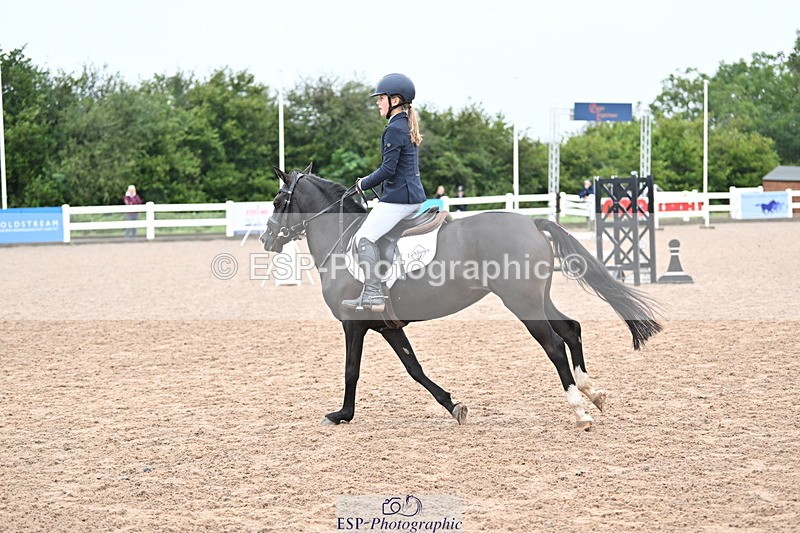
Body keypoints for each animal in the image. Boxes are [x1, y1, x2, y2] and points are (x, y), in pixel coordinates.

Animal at [260, 166, 662, 430]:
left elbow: (351, 370)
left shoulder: (353, 324)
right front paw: (453, 406)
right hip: (538, 300)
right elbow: (415, 369)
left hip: (523, 305)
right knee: (571, 329)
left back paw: (579, 410)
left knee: (553, 344)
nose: (267, 240)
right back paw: (592, 392)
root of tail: (531, 222)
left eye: (279, 200)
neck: (342, 240)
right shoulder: (388, 326)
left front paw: (342, 415)